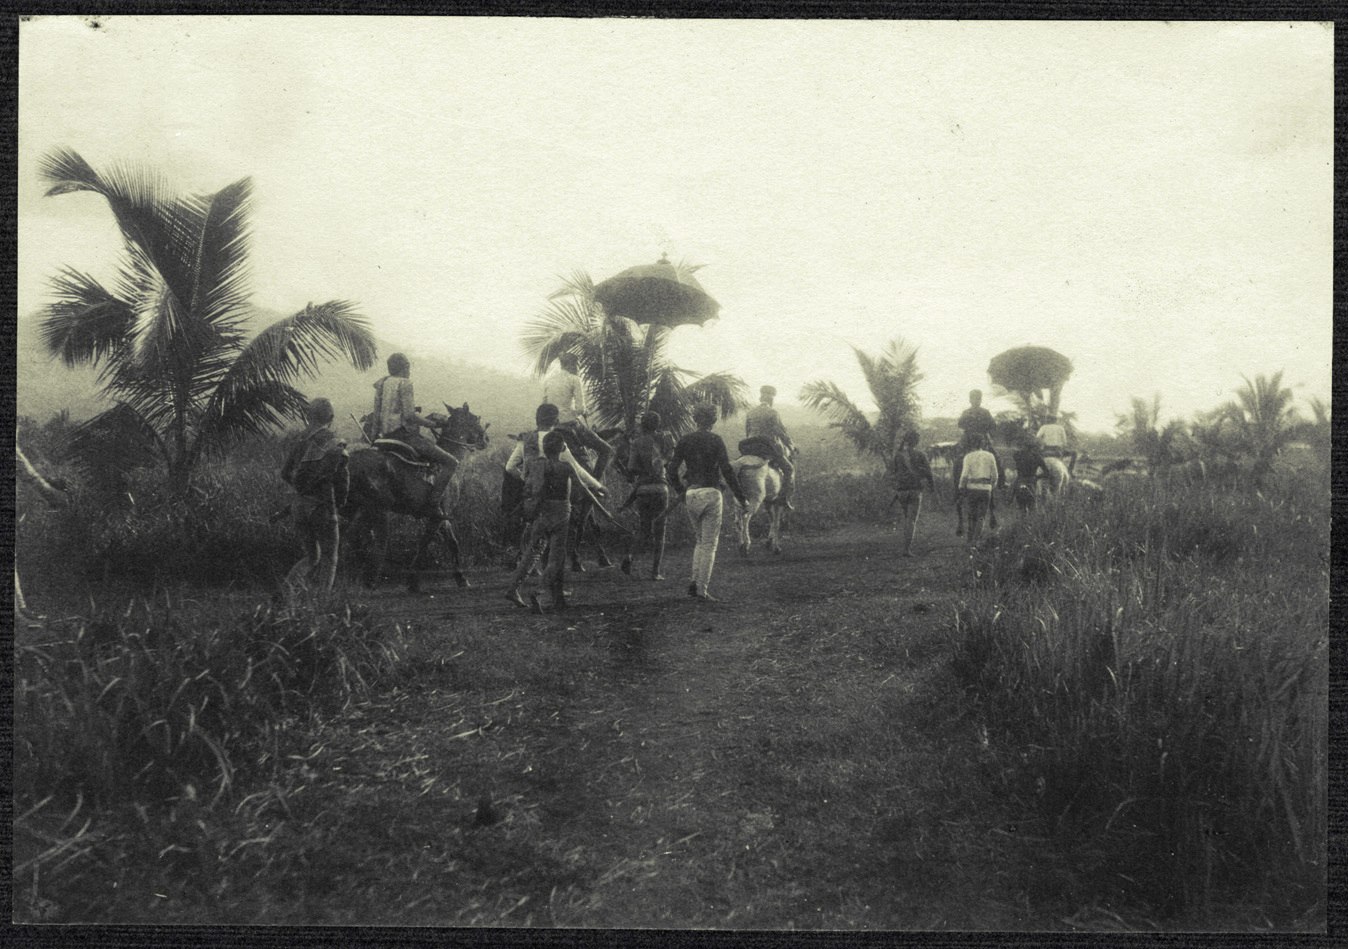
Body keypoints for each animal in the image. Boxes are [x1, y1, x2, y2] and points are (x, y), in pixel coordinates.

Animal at [342, 401, 490, 593]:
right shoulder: (436, 517)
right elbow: (424, 543)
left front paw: (461, 578)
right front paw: (412, 580)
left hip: (356, 509)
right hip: (377, 509)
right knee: (375, 541)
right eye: (475, 419)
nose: (486, 440)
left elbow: (453, 543)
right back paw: (369, 579)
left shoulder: (442, 517)